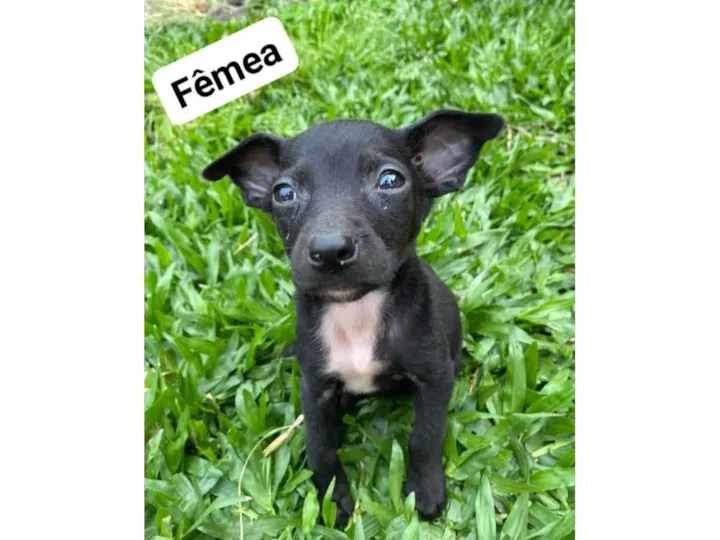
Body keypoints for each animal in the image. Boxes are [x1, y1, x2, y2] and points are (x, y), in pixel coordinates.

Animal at [202, 109, 504, 527]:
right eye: (283, 193)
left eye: (390, 181)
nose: (330, 250)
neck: (356, 311)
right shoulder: (314, 389)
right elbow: (319, 448)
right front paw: (332, 500)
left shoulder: (435, 377)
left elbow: (425, 436)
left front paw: (425, 490)